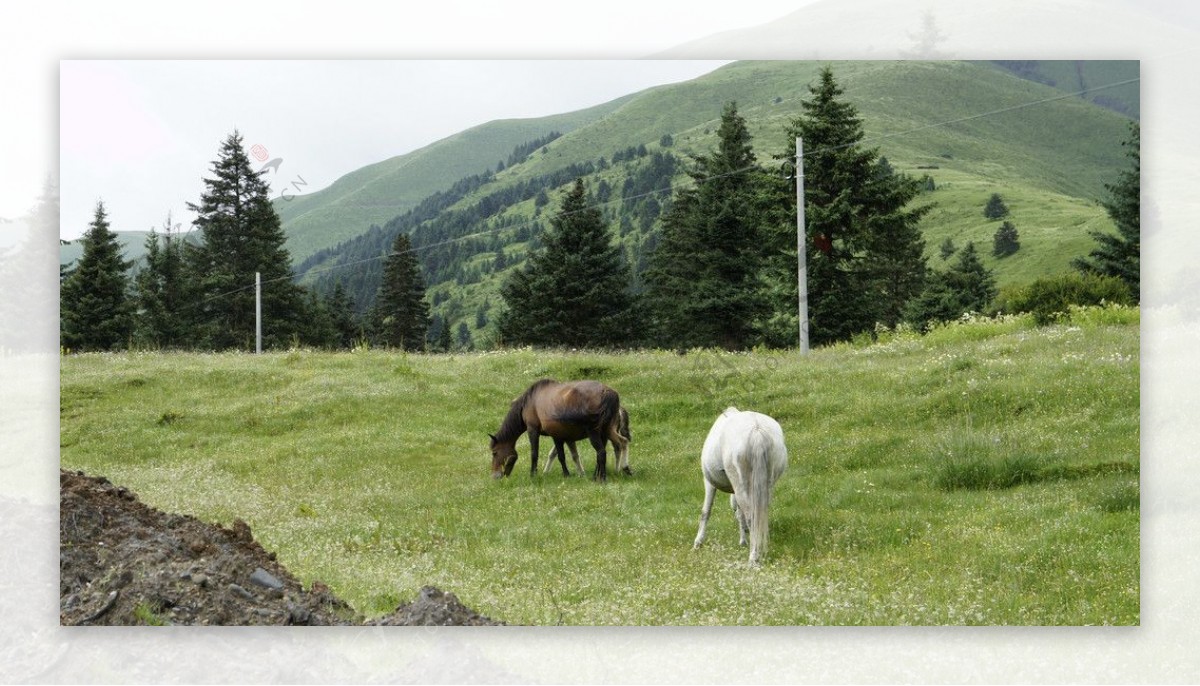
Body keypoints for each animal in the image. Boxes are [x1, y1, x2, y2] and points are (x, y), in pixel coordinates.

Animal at [489, 381, 633, 482]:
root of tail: (608, 392)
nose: (495, 475)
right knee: (622, 442)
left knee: (603, 452)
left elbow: (534, 453)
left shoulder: (532, 430)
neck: (531, 400)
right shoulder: (557, 436)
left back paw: (603, 477)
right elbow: (561, 456)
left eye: (495, 453)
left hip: (594, 433)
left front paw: (533, 474)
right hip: (606, 430)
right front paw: (566, 474)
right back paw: (619, 469)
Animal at [696, 405, 787, 566]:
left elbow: (706, 510)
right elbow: (740, 513)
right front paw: (743, 540)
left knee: (751, 516)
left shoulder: (709, 483)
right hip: (765, 486)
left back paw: (753, 557)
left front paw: (698, 542)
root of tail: (757, 429)